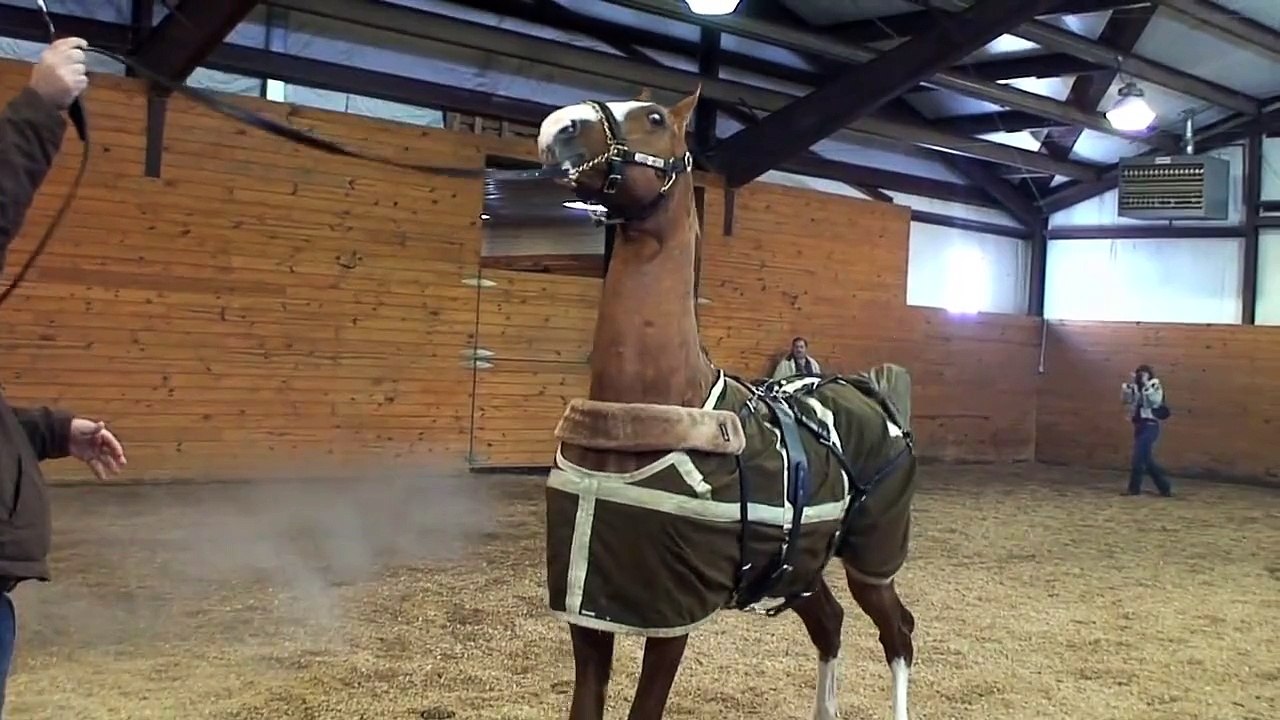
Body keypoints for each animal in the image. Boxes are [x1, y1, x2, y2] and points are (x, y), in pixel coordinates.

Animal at [535, 88, 919, 720]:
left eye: (656, 117)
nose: (556, 127)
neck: (649, 407)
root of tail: (875, 398)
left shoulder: (671, 619)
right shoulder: (587, 611)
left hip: (873, 559)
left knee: (899, 633)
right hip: (801, 565)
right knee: (831, 624)